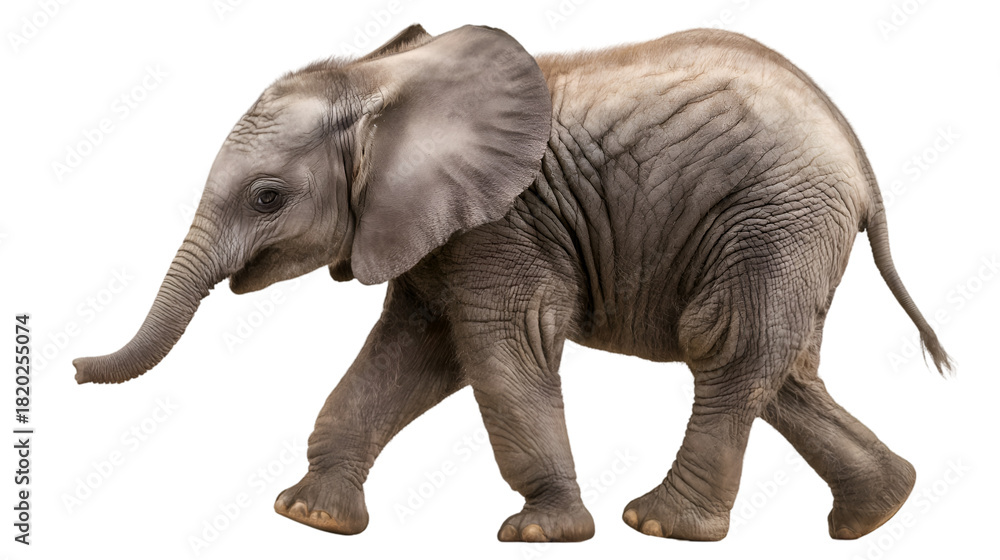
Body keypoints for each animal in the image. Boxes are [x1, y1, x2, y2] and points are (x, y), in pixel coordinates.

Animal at [74, 24, 952, 542]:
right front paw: (309, 517)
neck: (379, 77)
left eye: (267, 198)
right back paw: (880, 512)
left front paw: (543, 534)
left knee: (725, 347)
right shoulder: (437, 231)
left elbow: (500, 346)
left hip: (773, 215)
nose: (74, 368)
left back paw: (658, 525)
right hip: (785, 230)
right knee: (784, 369)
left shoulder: (503, 225)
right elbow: (413, 352)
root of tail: (862, 165)